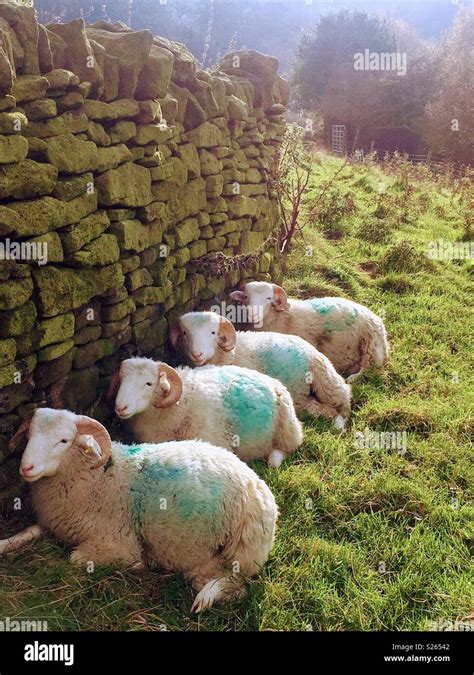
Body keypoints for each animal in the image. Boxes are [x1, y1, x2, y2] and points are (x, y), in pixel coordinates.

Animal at [3, 410, 278, 616]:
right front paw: (4, 543)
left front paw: (136, 564)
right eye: (29, 435)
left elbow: (76, 559)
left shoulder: (116, 542)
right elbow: (27, 532)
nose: (26, 467)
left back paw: (205, 597)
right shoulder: (52, 522)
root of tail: (260, 489)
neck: (98, 477)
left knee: (236, 586)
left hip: (229, 555)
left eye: (63, 441)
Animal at [110, 360, 304, 470]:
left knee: (287, 449)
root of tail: (276, 382)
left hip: (287, 430)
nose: (120, 407)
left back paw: (273, 459)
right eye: (121, 379)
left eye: (149, 383)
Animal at [168, 312, 350, 430]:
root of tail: (312, 355)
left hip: (303, 390)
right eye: (185, 333)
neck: (229, 354)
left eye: (213, 332)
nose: (196, 354)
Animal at [230, 282, 388, 382]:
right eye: (246, 297)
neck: (281, 317)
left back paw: (352, 379)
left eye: (268, 298)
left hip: (370, 346)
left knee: (369, 368)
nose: (252, 314)